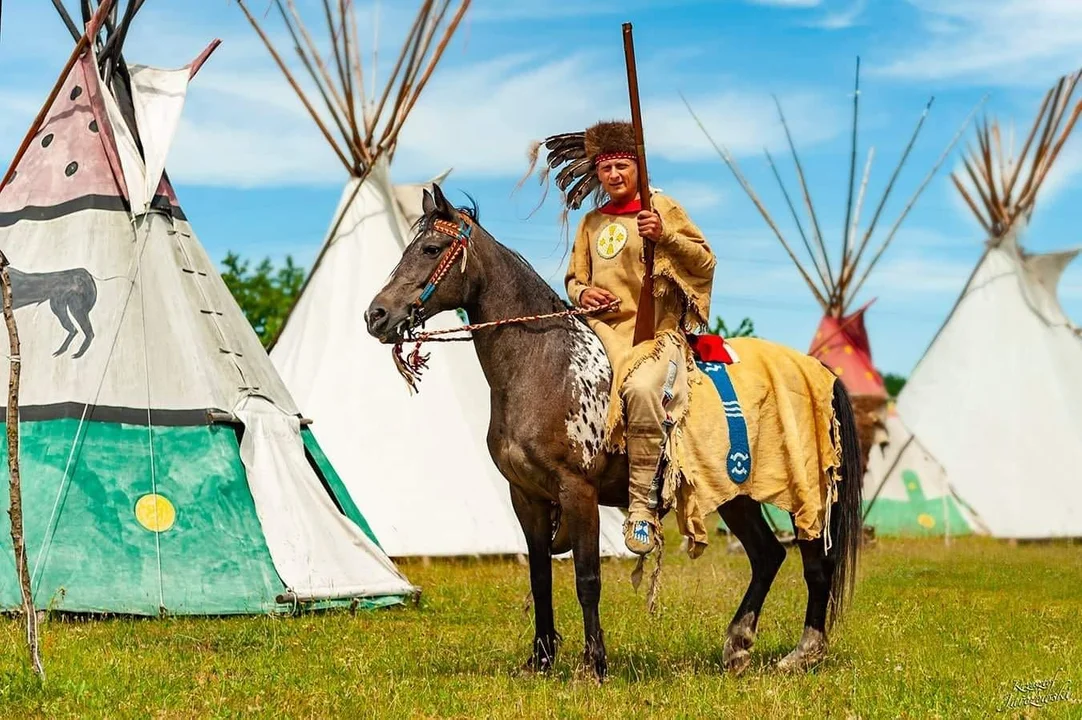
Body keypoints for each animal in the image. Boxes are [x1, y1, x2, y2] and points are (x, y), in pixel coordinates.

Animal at [363, 184, 861, 679]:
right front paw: (540, 660)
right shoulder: (527, 496)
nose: (376, 315)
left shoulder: (577, 491)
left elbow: (587, 578)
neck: (544, 365)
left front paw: (593, 664)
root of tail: (819, 371)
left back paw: (804, 652)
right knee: (768, 555)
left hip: (802, 490)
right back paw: (738, 646)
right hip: (734, 495)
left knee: (816, 564)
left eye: (431, 249)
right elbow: (540, 577)